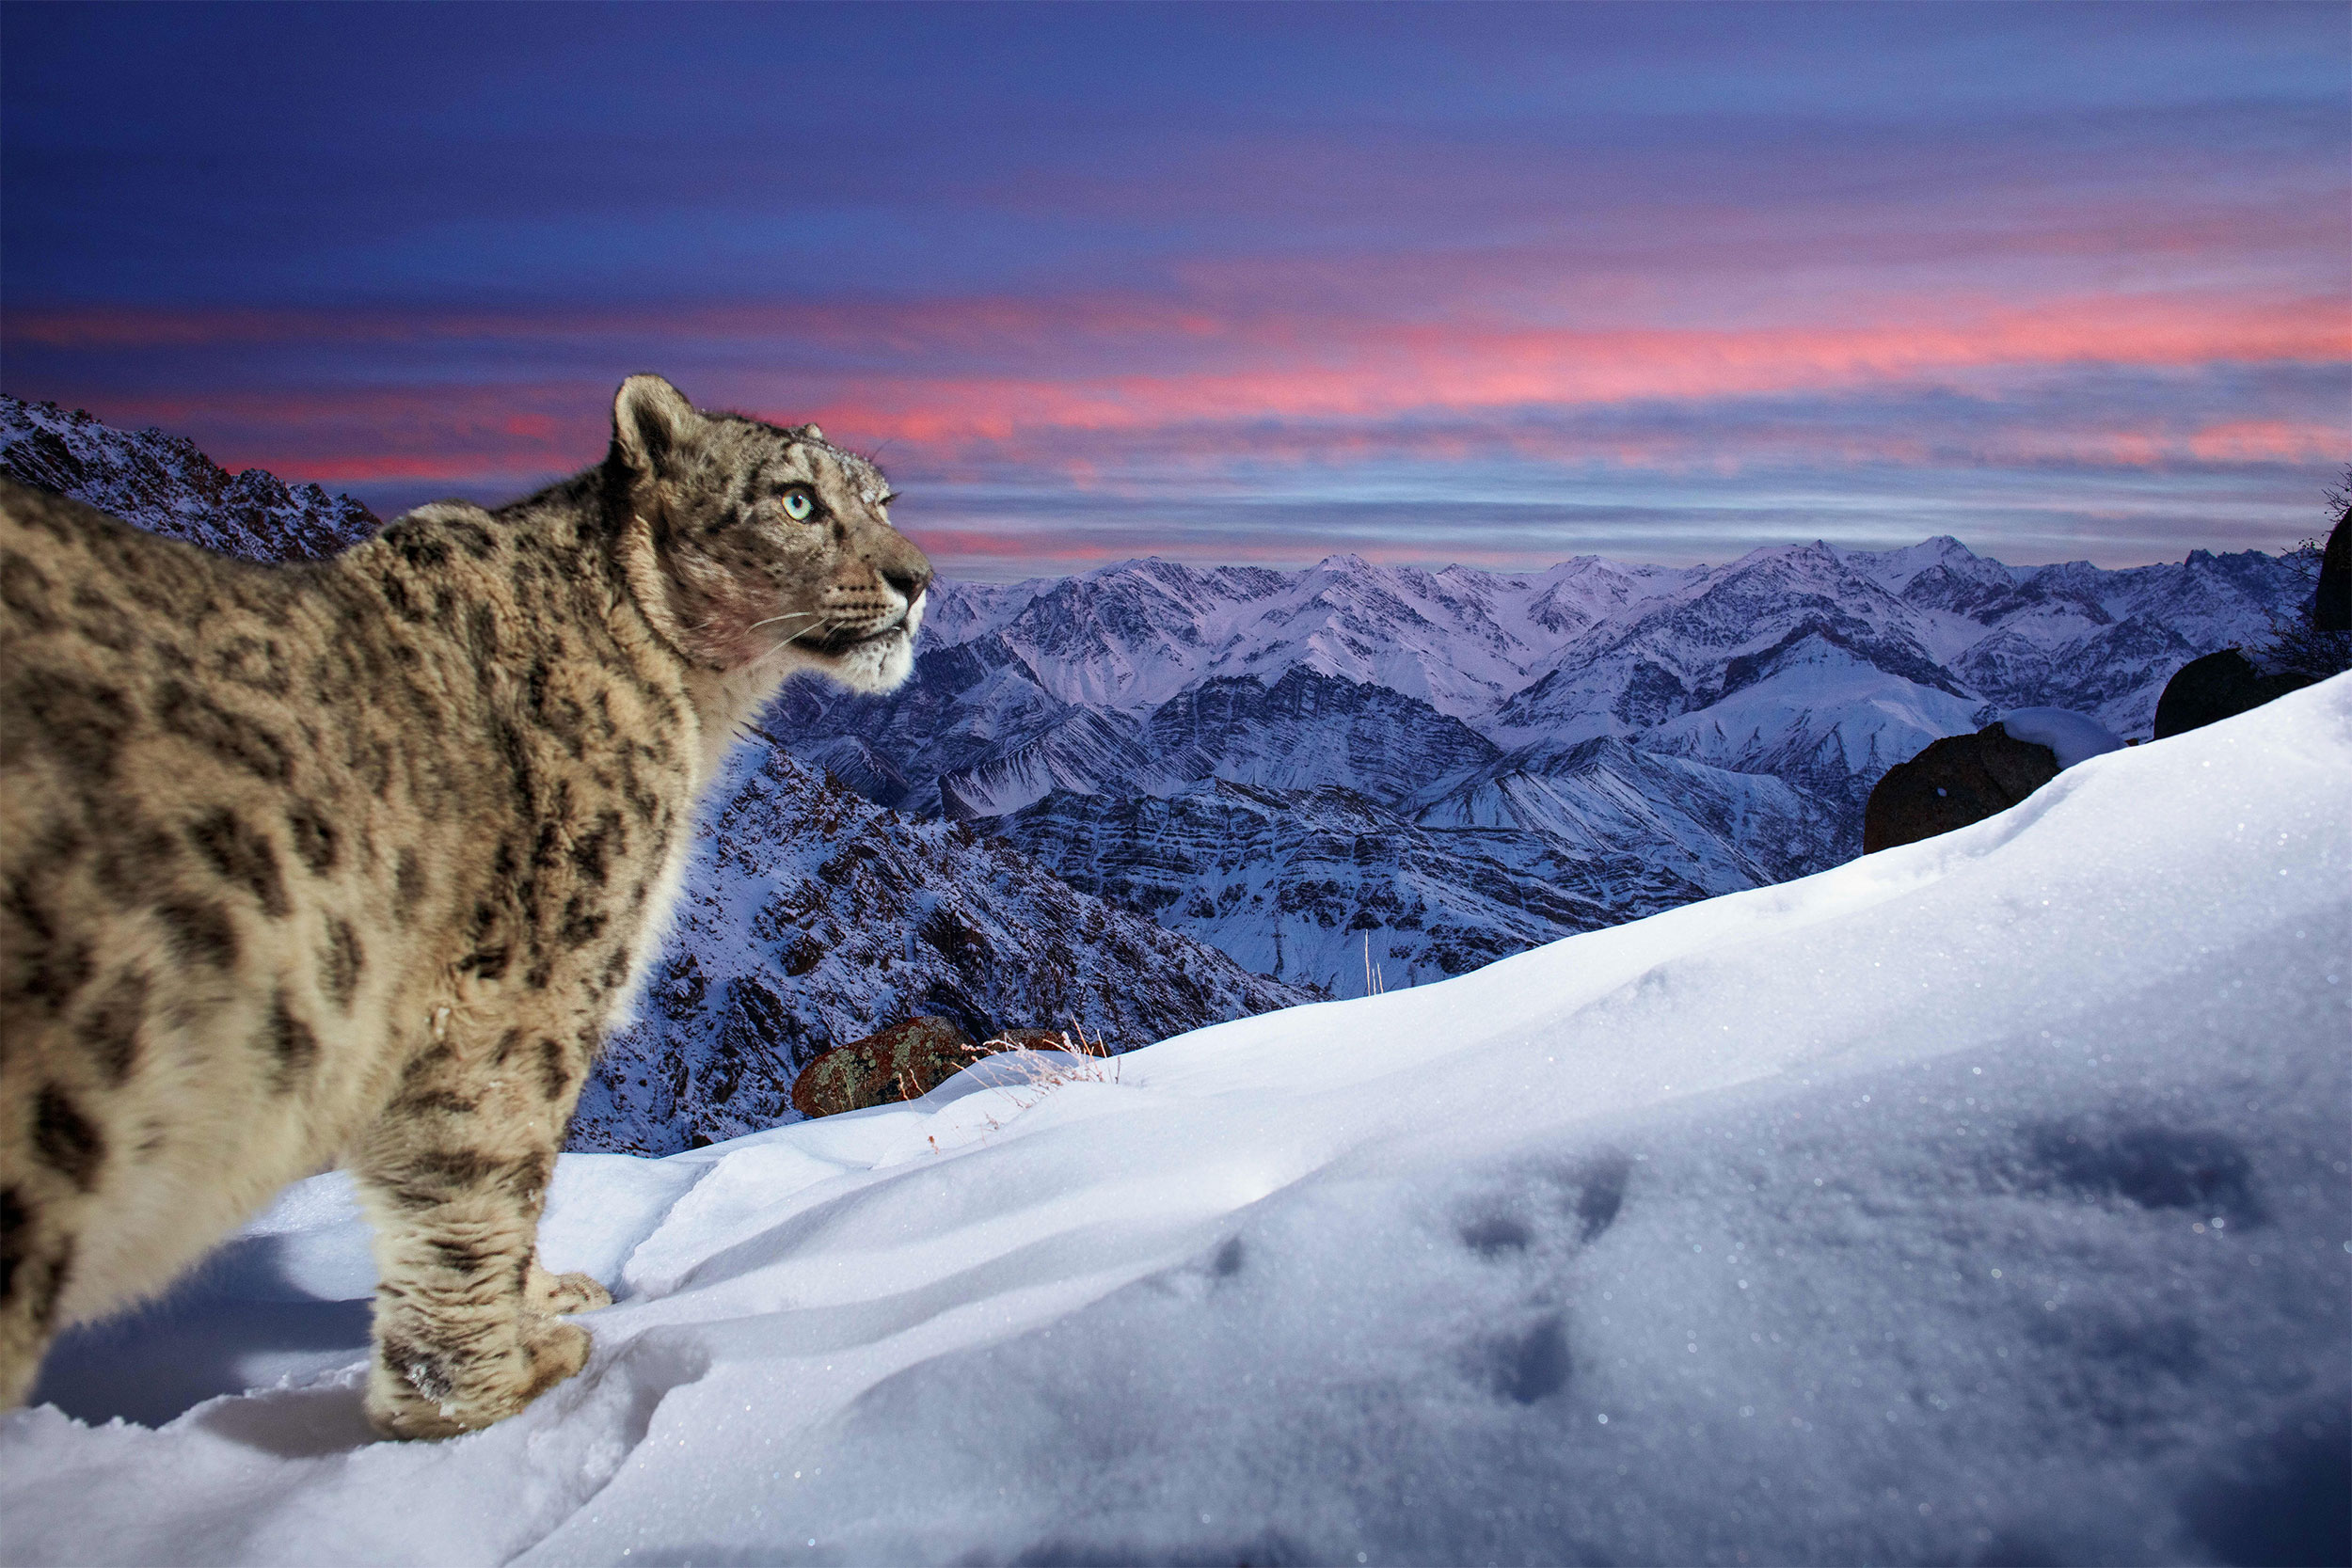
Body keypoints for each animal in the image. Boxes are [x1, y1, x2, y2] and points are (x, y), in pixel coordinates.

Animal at [0, 374, 930, 1437]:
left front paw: (545, 1303)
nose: (917, 577)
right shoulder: (527, 990)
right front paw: (495, 1391)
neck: (698, 711)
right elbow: (484, 1181)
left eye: (881, 499)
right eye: (796, 501)